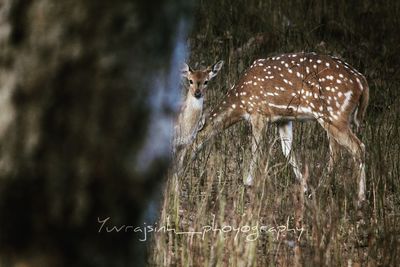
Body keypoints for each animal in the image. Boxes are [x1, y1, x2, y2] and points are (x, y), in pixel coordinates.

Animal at [197, 52, 368, 205]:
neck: (240, 102)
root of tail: (361, 81)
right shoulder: (283, 119)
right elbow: (287, 150)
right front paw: (304, 186)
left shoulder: (258, 113)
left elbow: (256, 149)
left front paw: (248, 183)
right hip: (333, 118)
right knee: (337, 151)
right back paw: (322, 186)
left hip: (335, 115)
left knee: (357, 147)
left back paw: (359, 198)